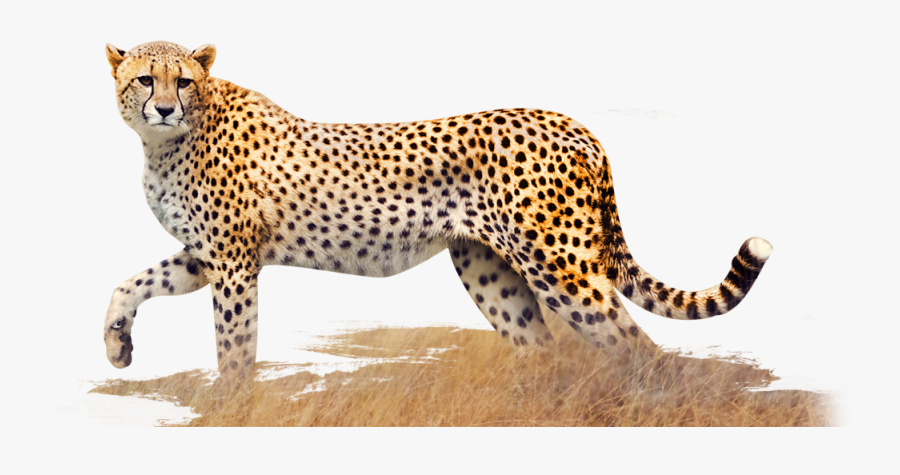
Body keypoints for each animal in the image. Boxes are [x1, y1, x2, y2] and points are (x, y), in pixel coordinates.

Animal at [103, 41, 772, 381]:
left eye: (183, 81)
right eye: (144, 79)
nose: (163, 107)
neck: (167, 143)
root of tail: (570, 122)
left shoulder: (235, 263)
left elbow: (234, 345)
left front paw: (234, 407)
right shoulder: (205, 256)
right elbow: (131, 283)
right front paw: (117, 346)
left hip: (560, 267)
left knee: (638, 346)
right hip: (487, 268)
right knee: (543, 350)